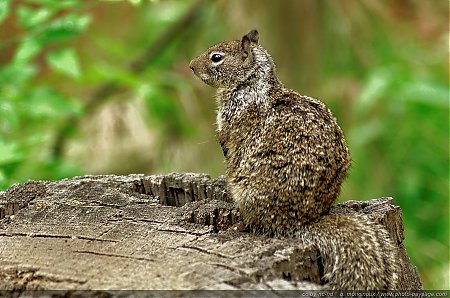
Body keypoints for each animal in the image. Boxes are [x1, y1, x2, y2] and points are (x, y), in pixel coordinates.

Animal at [188, 29, 400, 288]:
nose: (190, 65)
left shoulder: (234, 121)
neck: (251, 82)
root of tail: (301, 221)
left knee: (256, 223)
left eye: (216, 57)